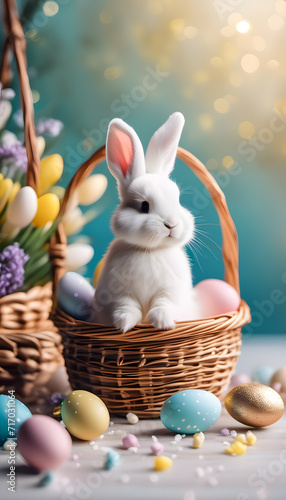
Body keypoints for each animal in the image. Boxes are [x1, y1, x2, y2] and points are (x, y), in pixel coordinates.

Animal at [92, 113, 198, 332]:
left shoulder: (171, 292)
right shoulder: (118, 293)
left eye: (177, 200)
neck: (150, 251)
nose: (171, 225)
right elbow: (126, 305)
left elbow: (164, 303)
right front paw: (124, 323)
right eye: (144, 206)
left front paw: (163, 322)